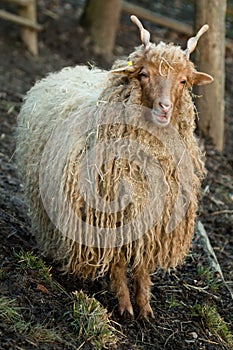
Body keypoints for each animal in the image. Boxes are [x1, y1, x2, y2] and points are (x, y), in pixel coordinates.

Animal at [15, 15, 213, 318]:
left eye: (183, 80)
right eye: (144, 74)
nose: (165, 108)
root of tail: (68, 71)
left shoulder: (152, 218)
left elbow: (142, 266)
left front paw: (145, 308)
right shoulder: (110, 214)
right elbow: (119, 263)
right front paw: (125, 307)